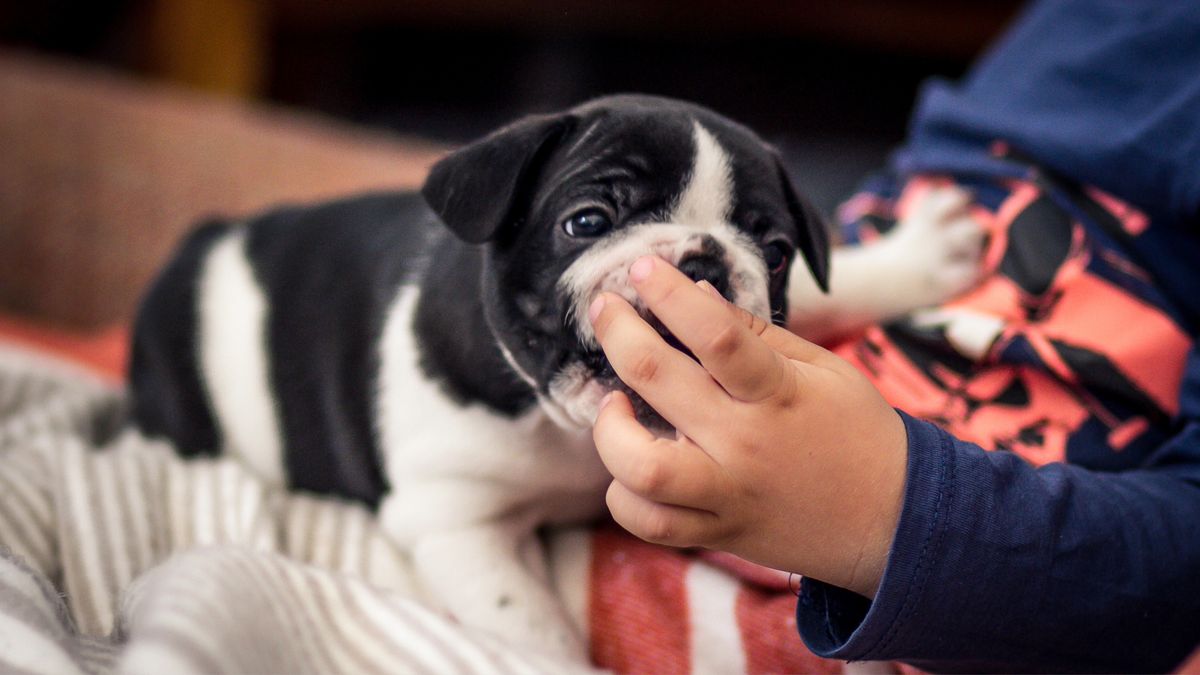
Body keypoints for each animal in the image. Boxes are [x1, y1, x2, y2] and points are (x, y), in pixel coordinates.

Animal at [126, 91, 830, 653]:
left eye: (776, 253)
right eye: (587, 222)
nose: (703, 263)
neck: (563, 422)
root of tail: (204, 238)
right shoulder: (456, 519)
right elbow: (532, 626)